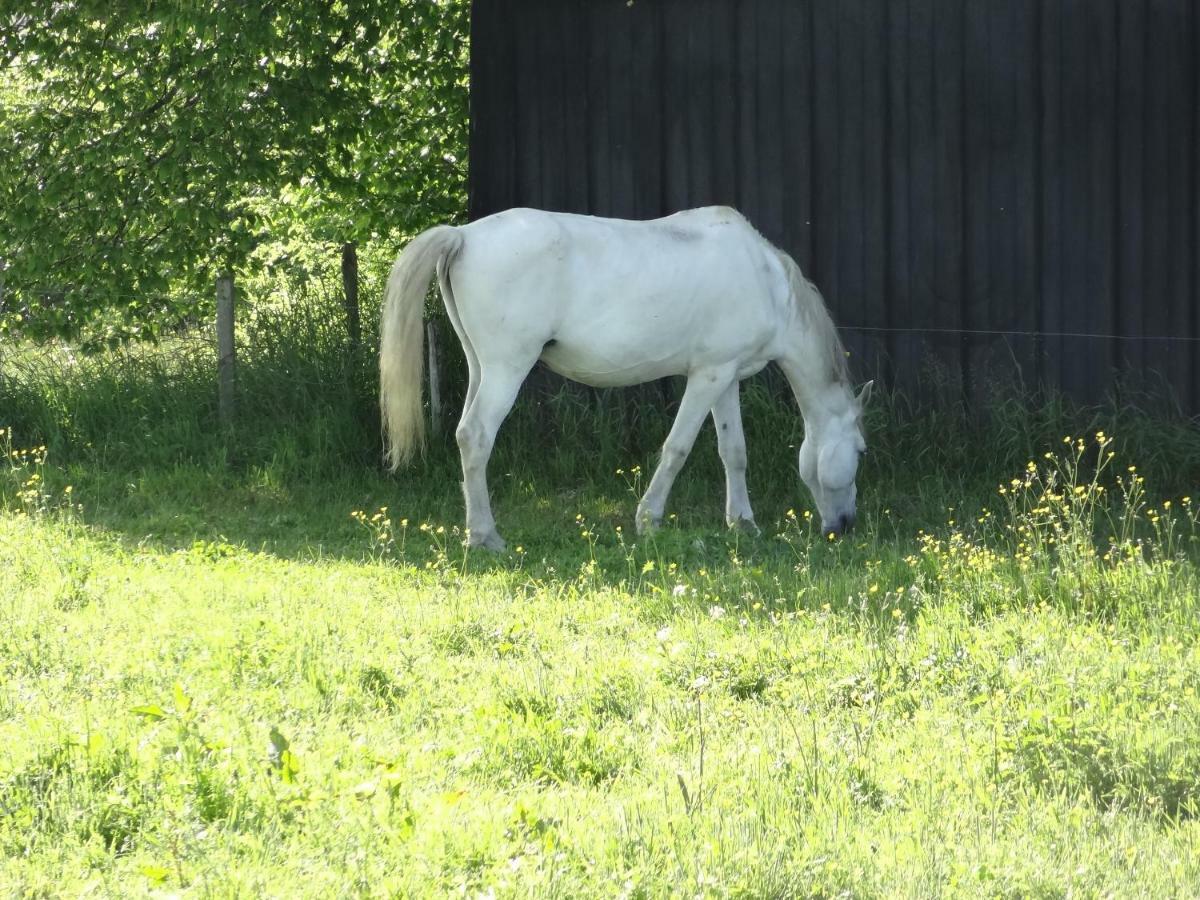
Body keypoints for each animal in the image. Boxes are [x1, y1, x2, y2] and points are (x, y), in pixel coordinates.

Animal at [381, 207, 873, 554]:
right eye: (862, 451)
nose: (844, 526)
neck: (768, 281)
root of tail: (463, 235)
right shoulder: (707, 376)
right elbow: (677, 448)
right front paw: (649, 522)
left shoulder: (725, 377)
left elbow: (733, 451)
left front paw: (742, 523)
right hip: (506, 371)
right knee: (476, 435)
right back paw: (486, 537)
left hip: (481, 368)